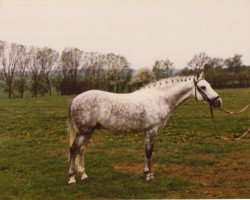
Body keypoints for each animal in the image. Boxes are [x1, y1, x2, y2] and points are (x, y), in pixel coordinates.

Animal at [67, 72, 222, 184]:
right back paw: (72, 178)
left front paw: (147, 173)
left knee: (81, 150)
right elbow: (148, 152)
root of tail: (75, 99)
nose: (218, 102)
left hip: (89, 131)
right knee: (73, 150)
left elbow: (148, 153)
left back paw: (84, 175)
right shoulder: (151, 131)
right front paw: (148, 175)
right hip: (82, 131)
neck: (159, 99)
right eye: (203, 87)